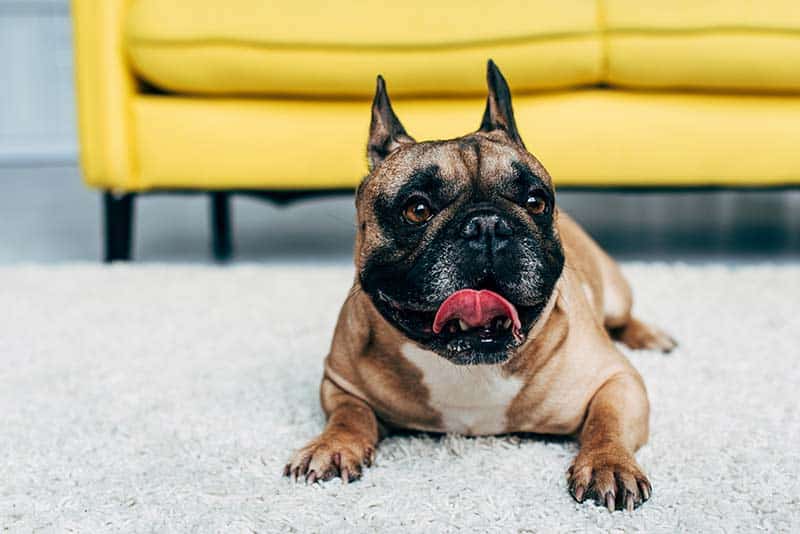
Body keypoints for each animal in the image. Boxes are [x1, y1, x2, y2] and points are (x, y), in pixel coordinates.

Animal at [282, 60, 676, 512]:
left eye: (536, 202)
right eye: (417, 209)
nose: (487, 224)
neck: (466, 367)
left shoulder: (617, 380)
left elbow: (606, 423)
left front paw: (608, 464)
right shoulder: (339, 383)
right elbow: (350, 415)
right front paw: (332, 446)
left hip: (613, 291)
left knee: (623, 316)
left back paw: (651, 336)